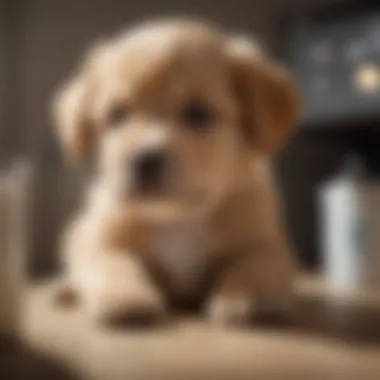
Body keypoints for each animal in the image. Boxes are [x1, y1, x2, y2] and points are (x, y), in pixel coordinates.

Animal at [53, 18, 302, 326]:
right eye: (116, 115)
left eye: (198, 114)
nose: (145, 159)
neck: (177, 218)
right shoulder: (99, 238)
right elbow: (113, 262)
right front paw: (124, 296)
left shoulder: (270, 247)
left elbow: (255, 266)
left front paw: (242, 297)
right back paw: (64, 291)